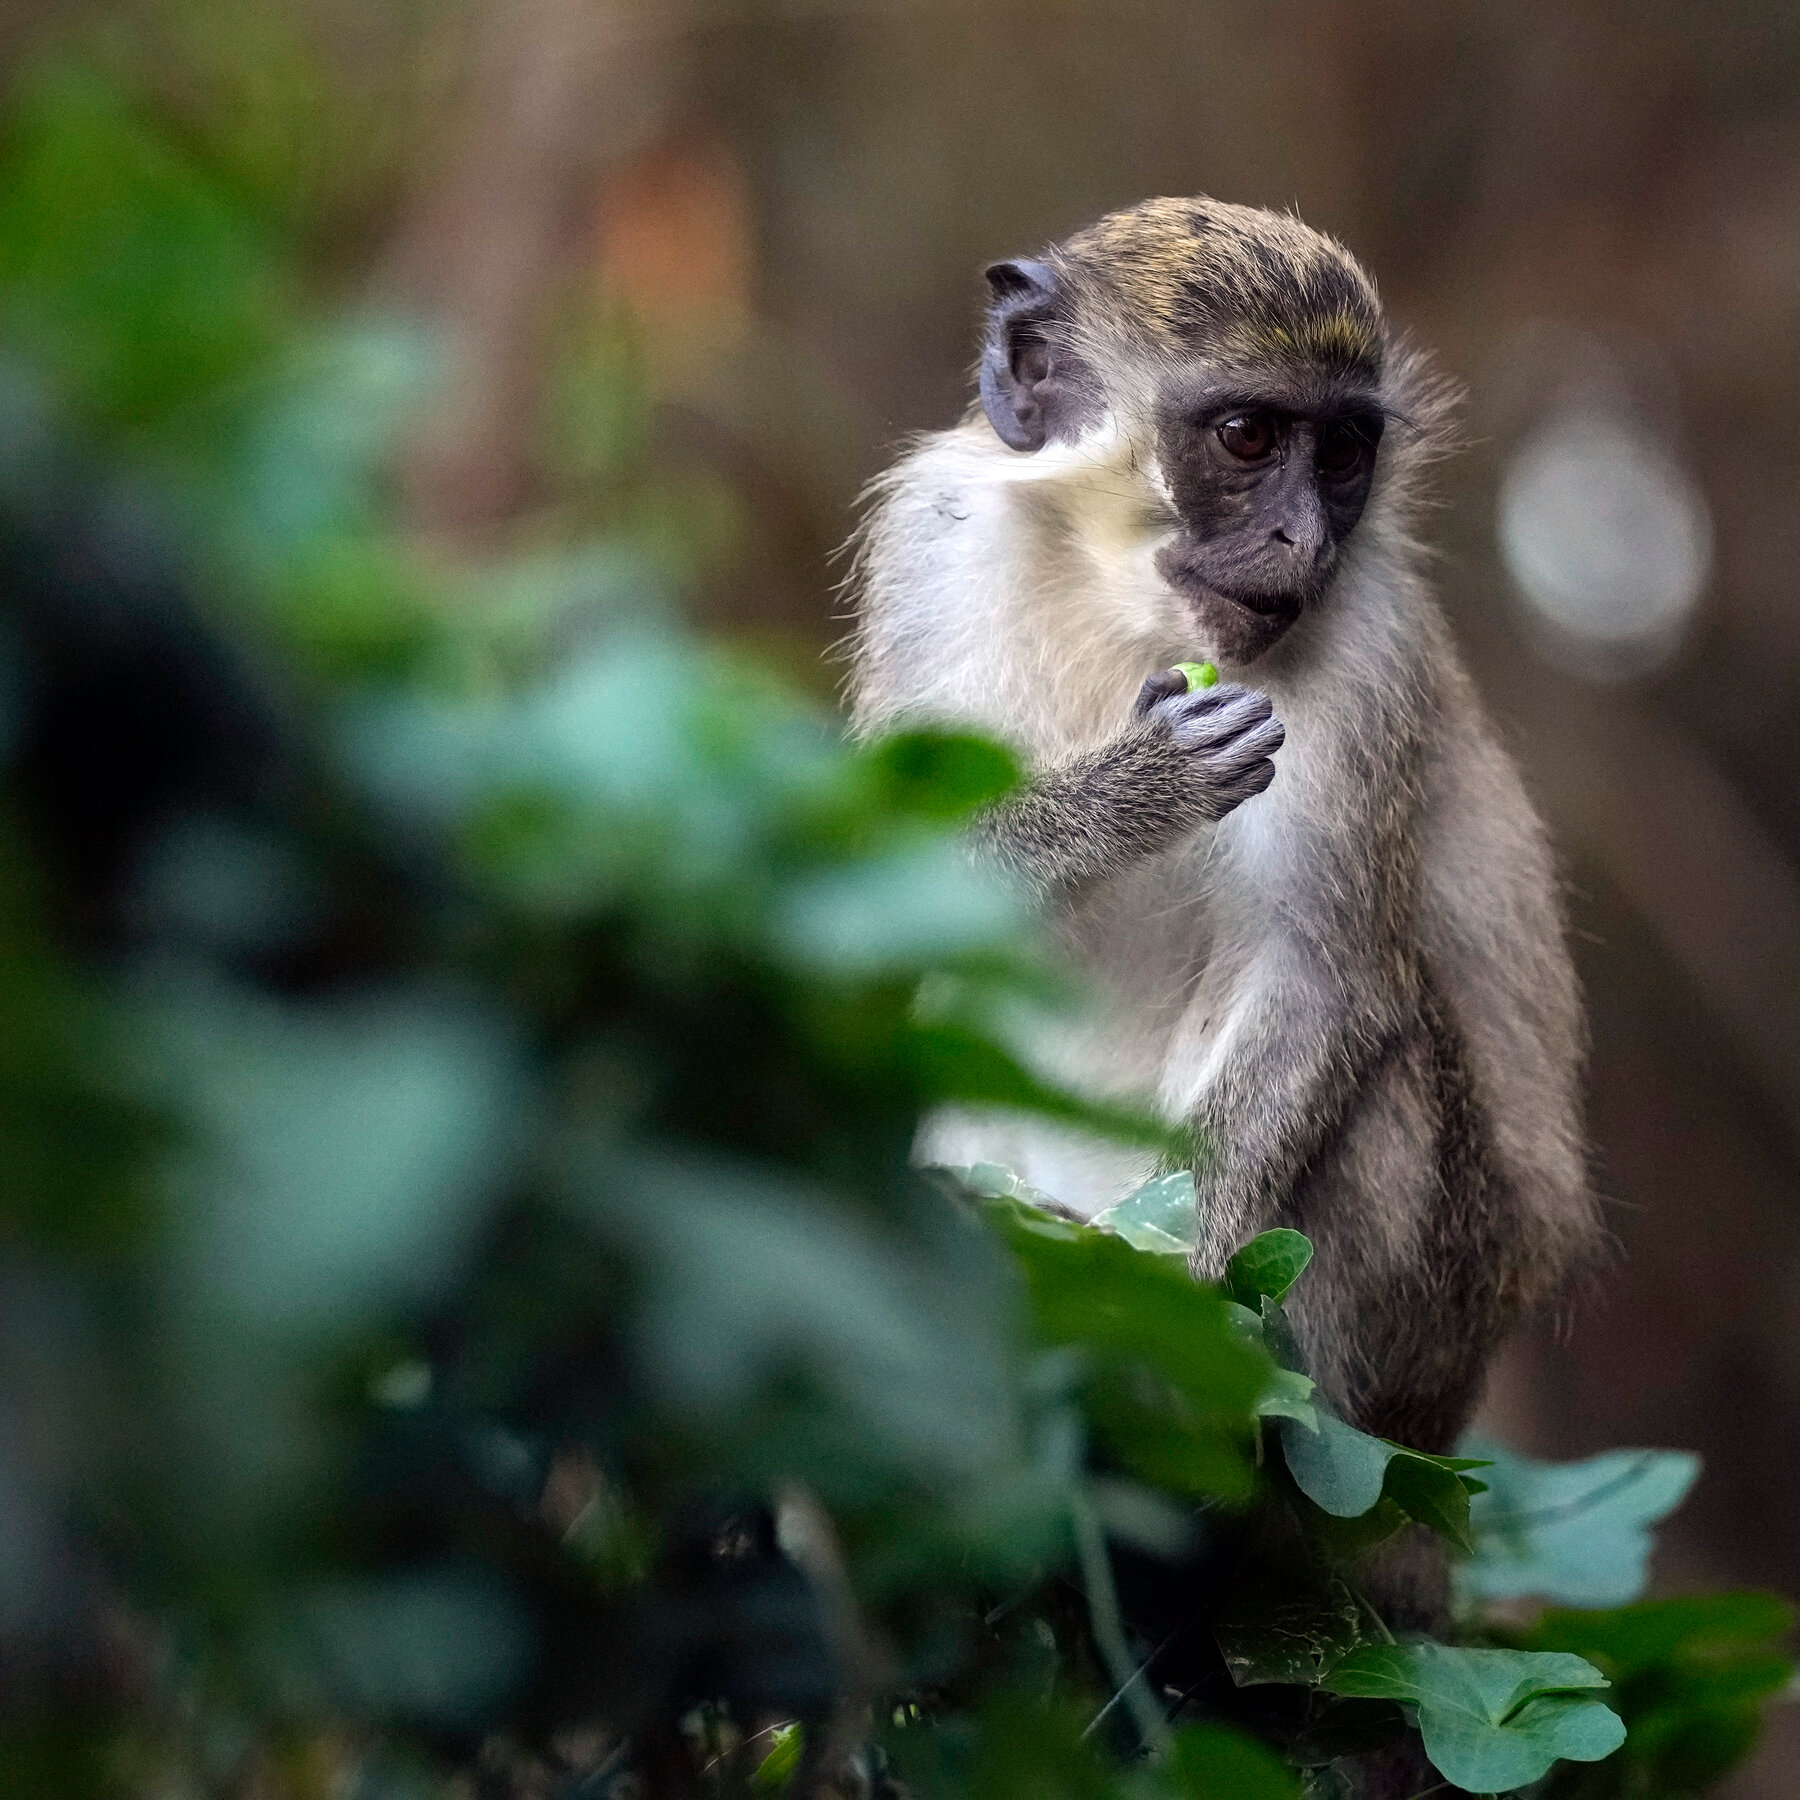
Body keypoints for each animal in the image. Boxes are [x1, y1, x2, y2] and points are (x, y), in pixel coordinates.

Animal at [844, 197, 1598, 1461]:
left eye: (1340, 455)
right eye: (1247, 438)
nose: (1302, 540)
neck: (1125, 604)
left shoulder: (1368, 642)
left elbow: (1319, 979)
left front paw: (1155, 1334)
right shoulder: (931, 553)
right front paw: (1128, 790)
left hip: (1420, 1318)